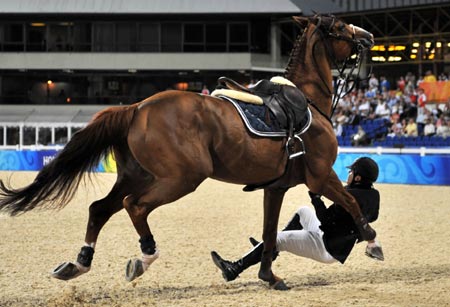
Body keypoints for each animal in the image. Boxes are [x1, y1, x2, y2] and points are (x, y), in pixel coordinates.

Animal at [0, 14, 374, 292]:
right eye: (340, 26)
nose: (369, 36)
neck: (308, 101)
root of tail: (136, 107)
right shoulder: (321, 177)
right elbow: (353, 203)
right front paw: (370, 240)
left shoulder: (276, 187)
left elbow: (269, 233)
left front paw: (269, 277)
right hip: (181, 179)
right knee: (134, 206)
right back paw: (143, 259)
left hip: (137, 175)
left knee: (100, 209)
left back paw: (78, 263)